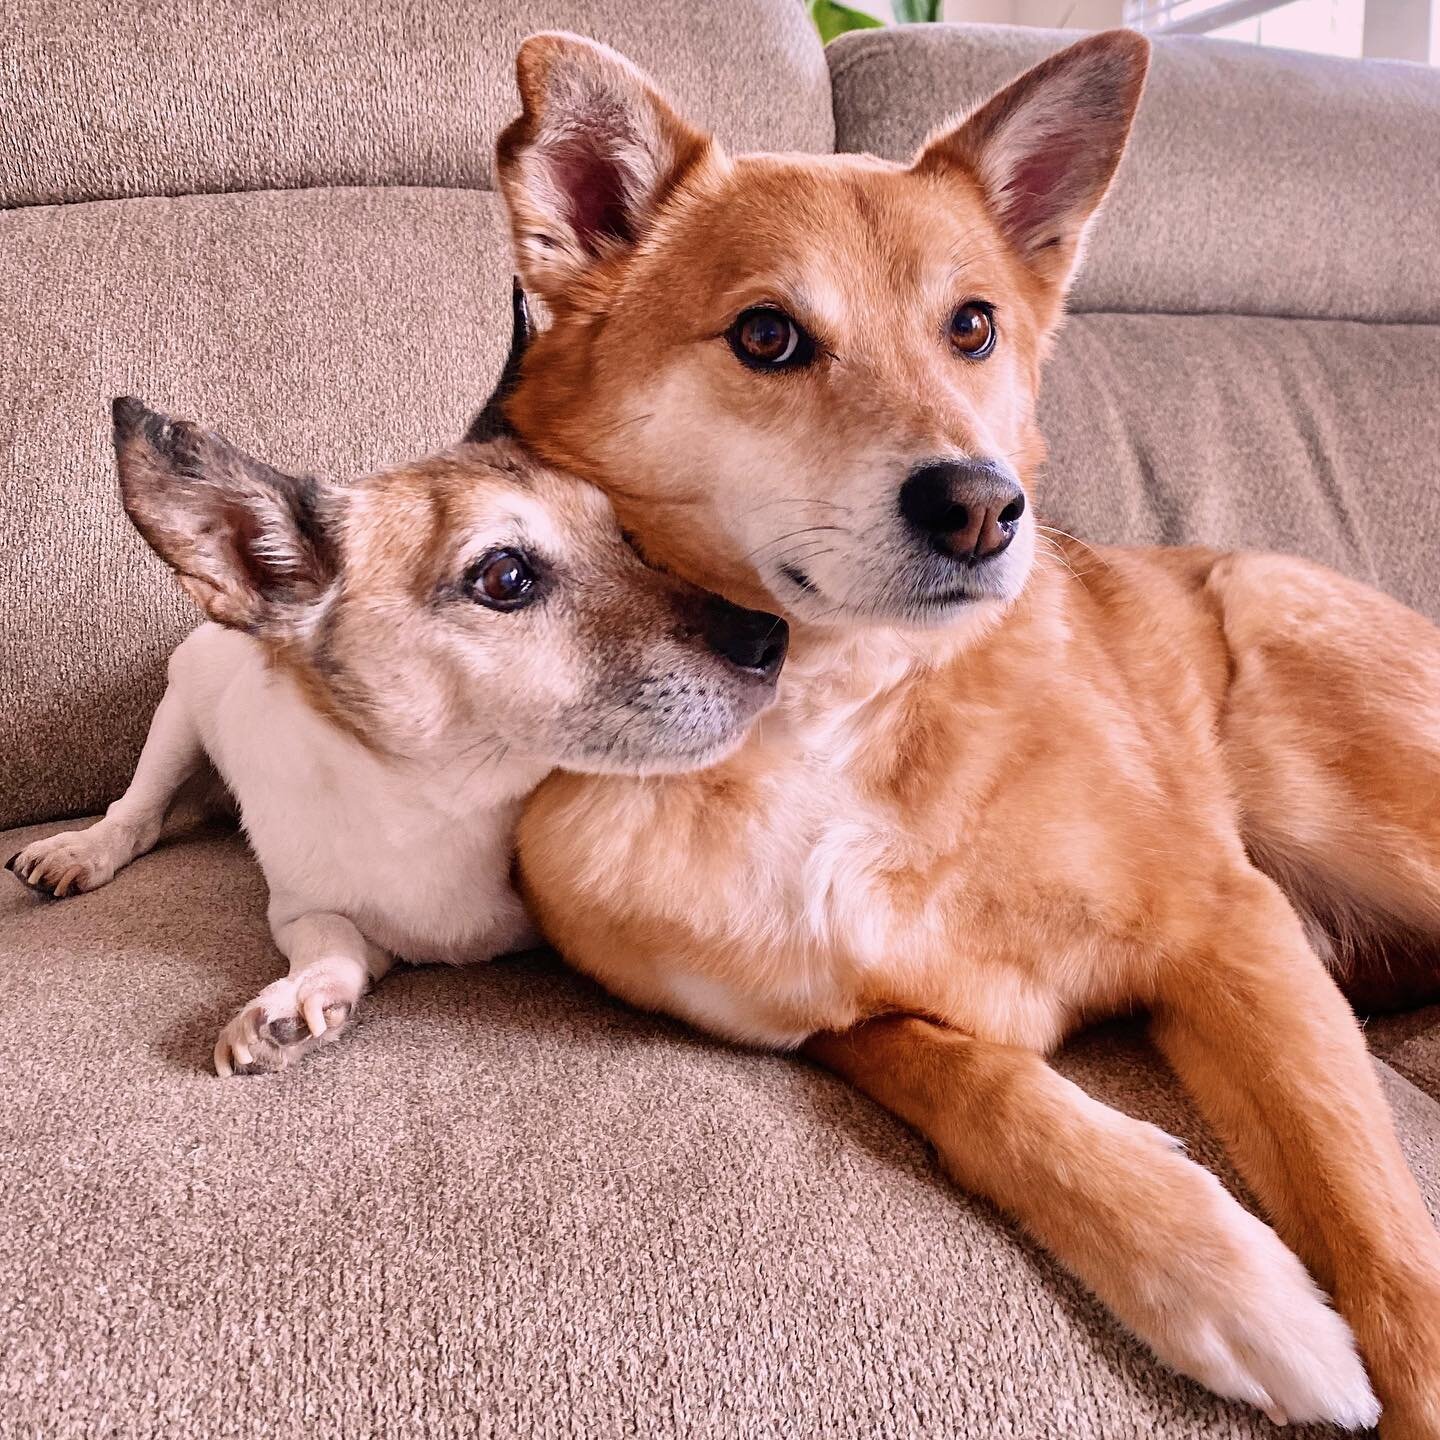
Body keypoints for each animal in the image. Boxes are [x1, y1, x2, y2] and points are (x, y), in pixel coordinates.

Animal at [489, 25, 1440, 1440]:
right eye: (767, 335)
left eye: (973, 325)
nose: (984, 509)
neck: (841, 713)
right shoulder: (848, 1024)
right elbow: (984, 1088)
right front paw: (1229, 1287)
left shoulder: (1232, 928)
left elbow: (1363, 1199)